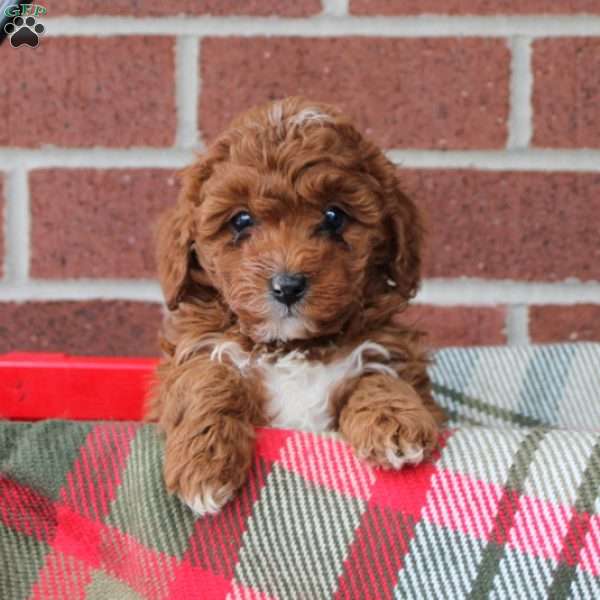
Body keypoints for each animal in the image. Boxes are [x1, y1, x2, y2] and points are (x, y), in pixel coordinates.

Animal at [146, 96, 446, 512]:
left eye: (334, 216)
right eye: (241, 220)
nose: (287, 286)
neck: (292, 346)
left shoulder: (388, 352)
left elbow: (378, 376)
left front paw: (397, 425)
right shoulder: (196, 352)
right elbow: (206, 379)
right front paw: (203, 463)